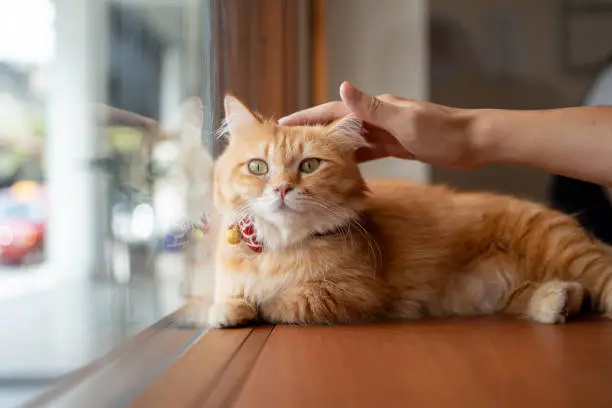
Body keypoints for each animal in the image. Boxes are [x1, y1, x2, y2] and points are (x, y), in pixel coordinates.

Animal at [206, 95, 612, 328]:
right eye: (258, 167)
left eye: (309, 166)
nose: (281, 189)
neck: (280, 246)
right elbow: (231, 296)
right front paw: (230, 308)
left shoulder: (357, 292)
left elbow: (283, 300)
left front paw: (254, 304)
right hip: (508, 293)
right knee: (561, 294)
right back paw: (558, 302)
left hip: (563, 249)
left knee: (602, 279)